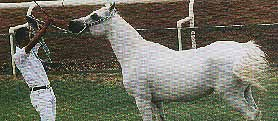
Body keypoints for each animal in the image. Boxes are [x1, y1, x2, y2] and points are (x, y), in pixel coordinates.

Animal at [68, 3, 268, 120]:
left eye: (95, 16)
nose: (72, 24)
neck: (134, 53)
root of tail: (243, 50)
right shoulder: (156, 100)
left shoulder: (142, 99)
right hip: (245, 92)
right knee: (256, 112)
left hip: (231, 94)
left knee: (251, 114)